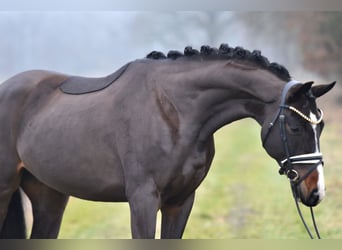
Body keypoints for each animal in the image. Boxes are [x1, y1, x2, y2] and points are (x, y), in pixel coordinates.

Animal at [0, 44, 334, 238]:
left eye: (320, 126)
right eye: (295, 128)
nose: (315, 192)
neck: (174, 112)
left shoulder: (181, 201)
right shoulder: (143, 201)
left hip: (50, 196)